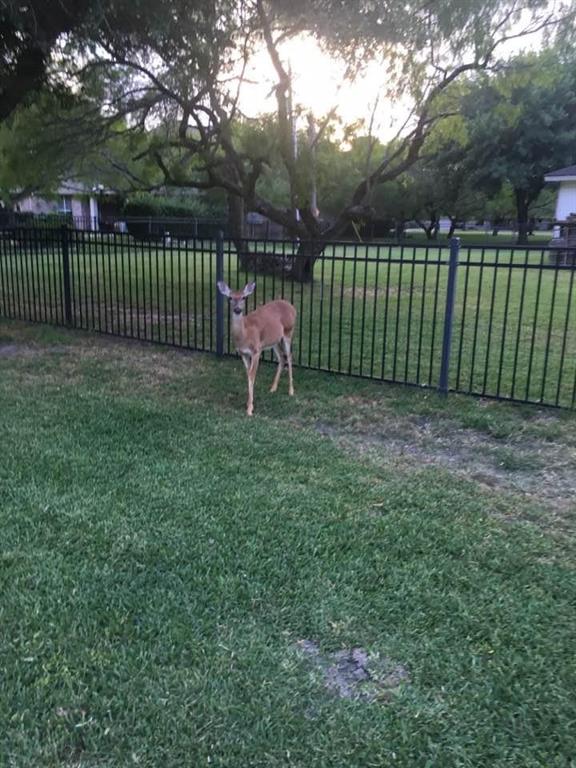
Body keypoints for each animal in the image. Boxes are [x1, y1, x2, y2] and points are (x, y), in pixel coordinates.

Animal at [217, 280, 296, 416]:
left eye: (243, 297)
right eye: (230, 297)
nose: (237, 309)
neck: (245, 335)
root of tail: (293, 307)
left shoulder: (256, 350)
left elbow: (252, 375)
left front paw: (250, 409)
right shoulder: (243, 353)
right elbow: (248, 375)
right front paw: (248, 404)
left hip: (288, 331)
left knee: (289, 356)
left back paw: (291, 391)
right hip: (274, 341)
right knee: (281, 358)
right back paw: (273, 388)